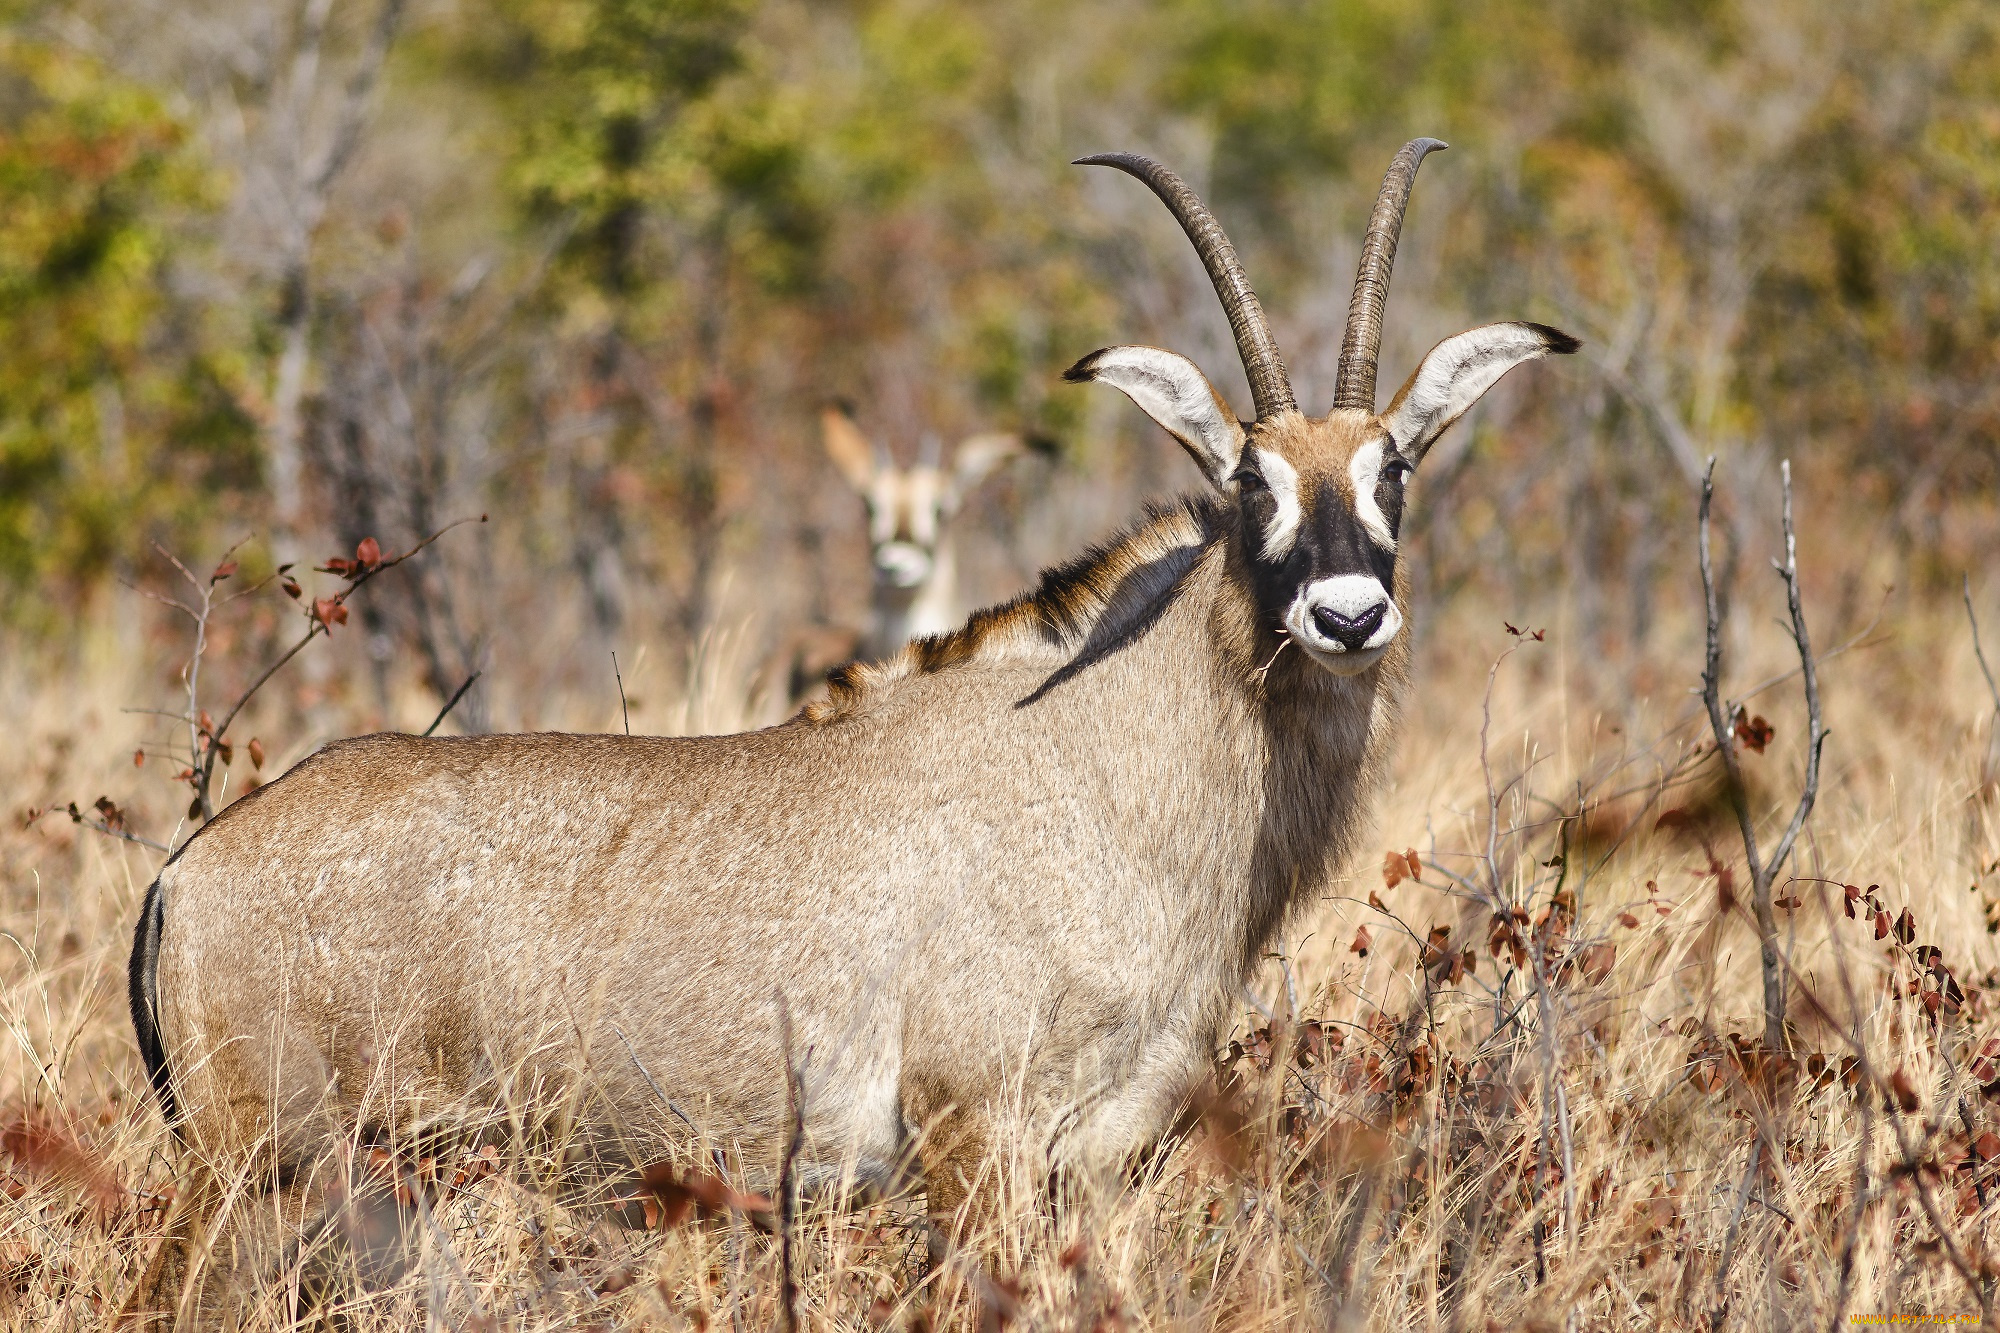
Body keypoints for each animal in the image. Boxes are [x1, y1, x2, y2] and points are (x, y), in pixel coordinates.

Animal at [121, 140, 1576, 1320]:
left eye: (1394, 468)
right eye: (1248, 479)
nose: (1346, 613)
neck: (1095, 762)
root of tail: (189, 871)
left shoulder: (1102, 1166)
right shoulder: (973, 1140)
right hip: (264, 1172)